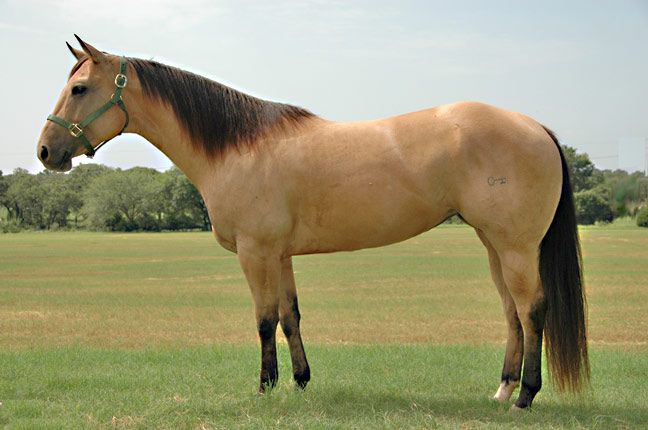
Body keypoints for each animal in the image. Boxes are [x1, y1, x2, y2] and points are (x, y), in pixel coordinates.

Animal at [37, 36, 589, 410]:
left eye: (79, 88)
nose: (46, 152)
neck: (238, 148)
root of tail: (535, 126)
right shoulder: (279, 255)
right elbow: (290, 317)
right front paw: (300, 382)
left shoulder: (256, 252)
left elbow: (263, 320)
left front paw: (265, 387)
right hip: (495, 246)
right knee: (512, 313)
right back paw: (502, 389)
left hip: (516, 247)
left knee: (532, 310)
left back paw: (526, 396)